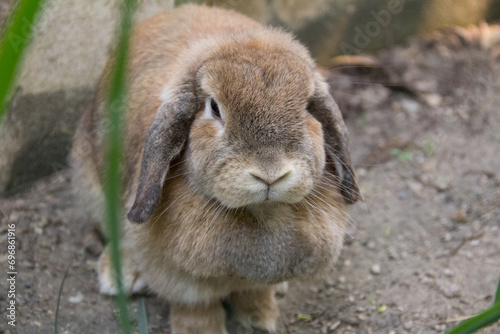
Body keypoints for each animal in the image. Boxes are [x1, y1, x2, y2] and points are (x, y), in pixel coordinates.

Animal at [70, 3, 360, 334]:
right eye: (214, 108)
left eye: (307, 106)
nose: (270, 174)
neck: (263, 214)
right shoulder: (180, 279)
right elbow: (196, 308)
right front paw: (201, 330)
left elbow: (253, 292)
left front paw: (261, 318)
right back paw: (119, 278)